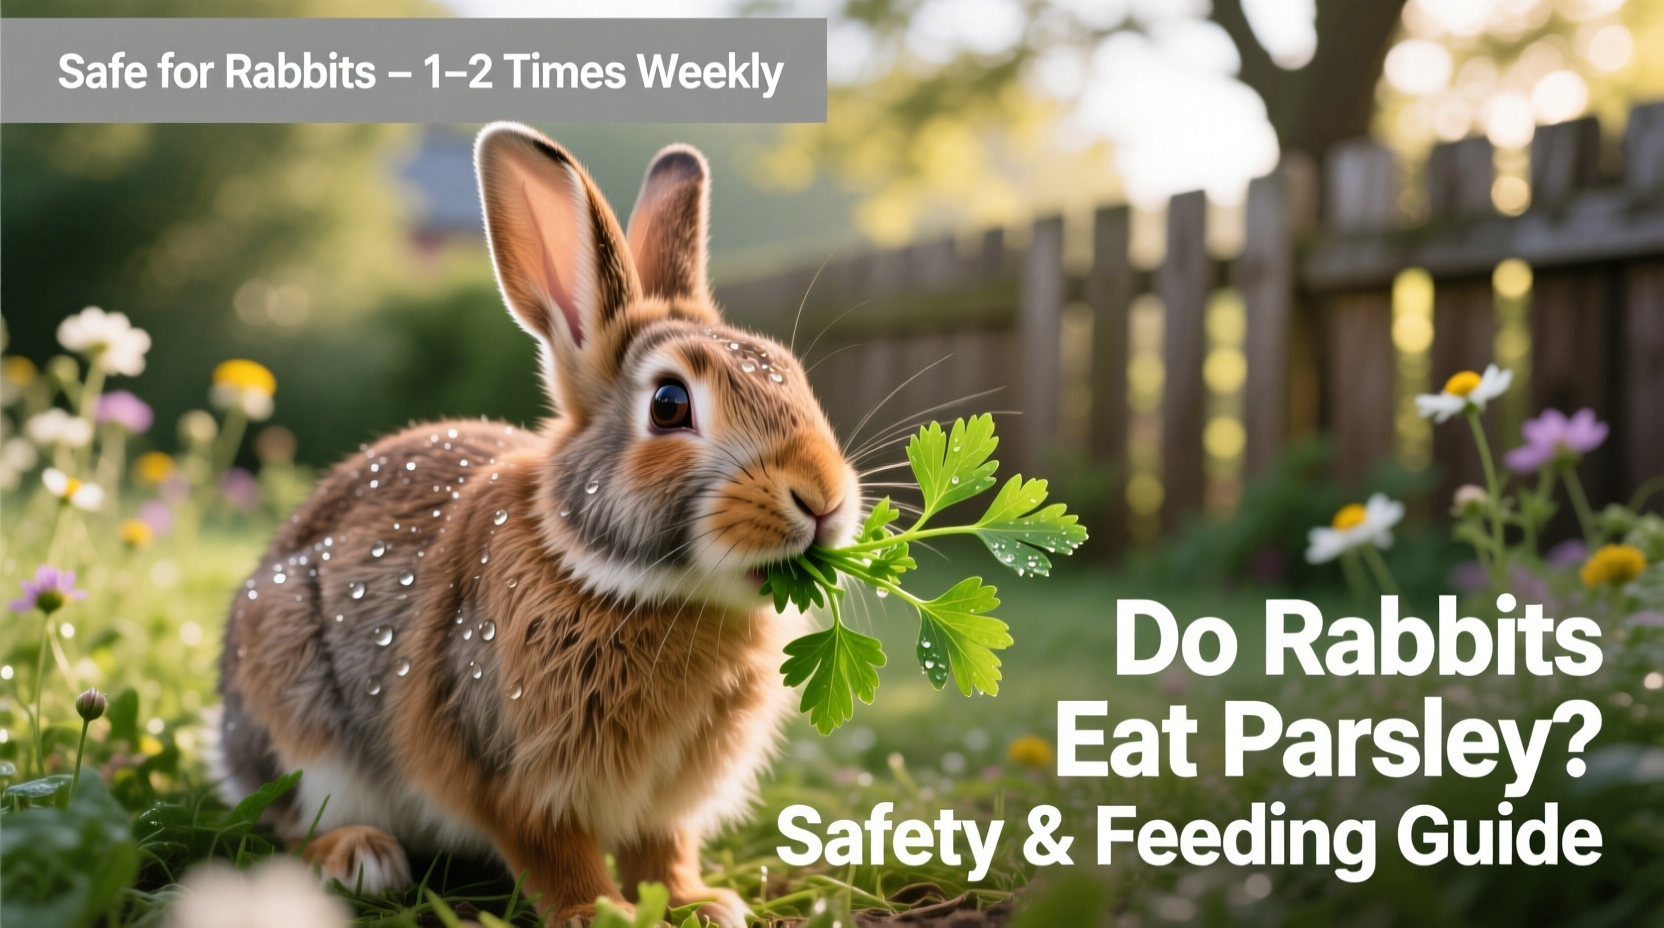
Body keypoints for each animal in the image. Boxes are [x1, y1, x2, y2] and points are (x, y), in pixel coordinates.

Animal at [214, 121, 860, 927]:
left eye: (792, 374)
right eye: (670, 404)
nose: (824, 499)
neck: (624, 581)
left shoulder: (665, 803)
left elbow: (664, 850)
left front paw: (700, 904)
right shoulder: (510, 770)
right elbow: (553, 851)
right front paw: (599, 913)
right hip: (297, 704)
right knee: (288, 819)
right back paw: (359, 856)